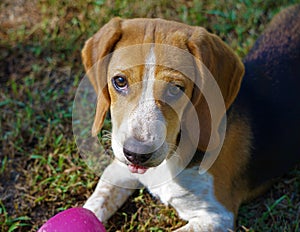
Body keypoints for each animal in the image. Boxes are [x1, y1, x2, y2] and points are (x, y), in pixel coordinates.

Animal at [81, 4, 298, 231]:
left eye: (175, 89)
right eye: (120, 81)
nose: (136, 154)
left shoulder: (217, 216)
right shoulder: (119, 168)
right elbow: (95, 203)